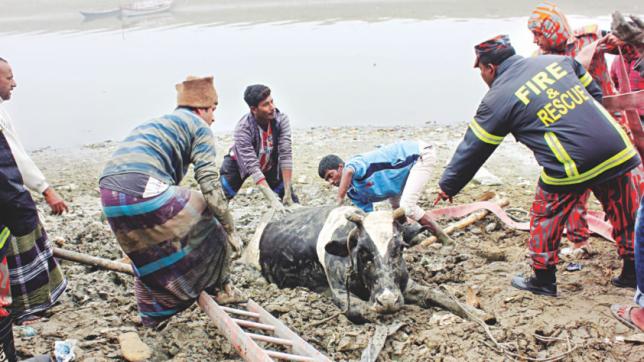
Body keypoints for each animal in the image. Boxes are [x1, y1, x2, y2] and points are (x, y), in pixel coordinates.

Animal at [242, 205, 462, 324]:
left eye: (400, 248)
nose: (387, 301)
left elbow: (441, 297)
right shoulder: (340, 292)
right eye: (363, 251)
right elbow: (363, 311)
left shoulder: (405, 285)